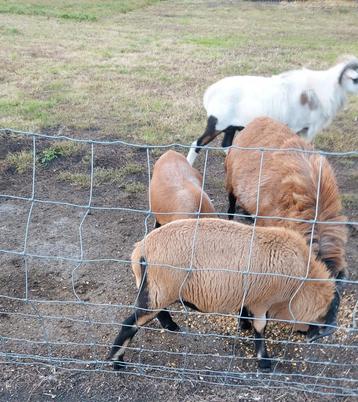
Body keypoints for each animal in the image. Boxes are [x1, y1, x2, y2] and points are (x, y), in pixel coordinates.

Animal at [187, 55, 358, 165]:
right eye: (355, 79)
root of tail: (210, 92)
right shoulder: (299, 128)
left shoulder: (304, 130)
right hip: (218, 123)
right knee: (198, 143)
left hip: (231, 126)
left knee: (226, 144)